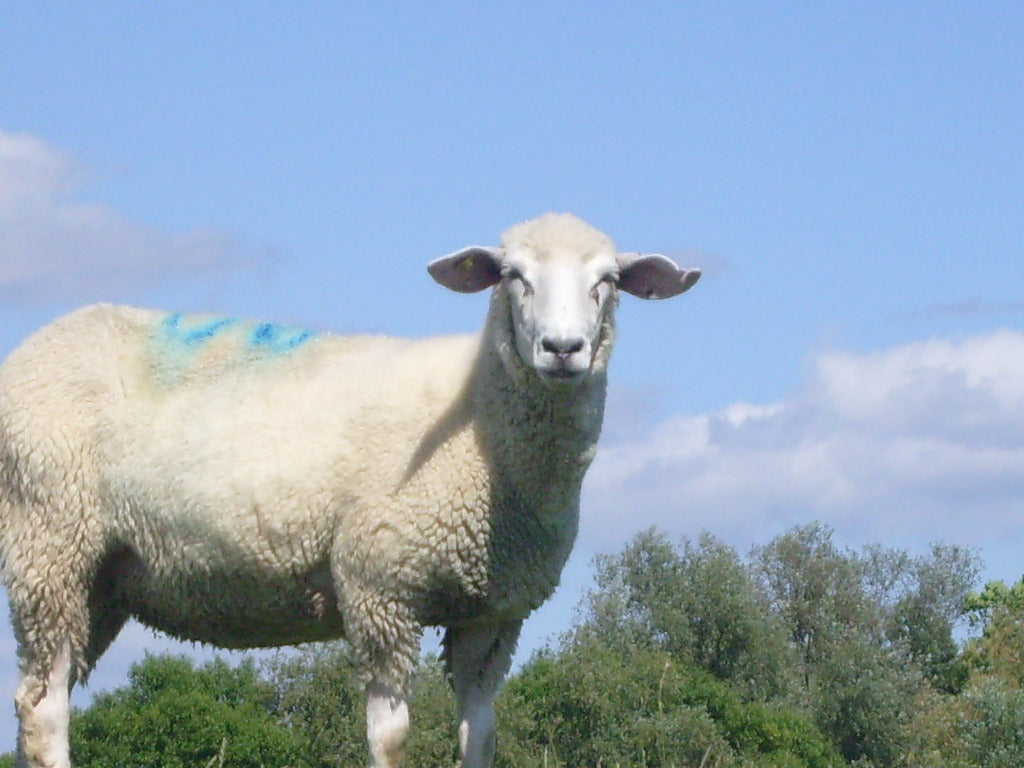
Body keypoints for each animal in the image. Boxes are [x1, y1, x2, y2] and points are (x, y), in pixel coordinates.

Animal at [0, 212, 700, 768]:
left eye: (607, 282)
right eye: (513, 276)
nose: (562, 348)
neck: (475, 417)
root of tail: (35, 347)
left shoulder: (493, 612)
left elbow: (480, 737)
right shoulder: (378, 585)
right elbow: (390, 738)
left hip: (102, 579)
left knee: (43, 696)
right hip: (49, 543)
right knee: (42, 707)